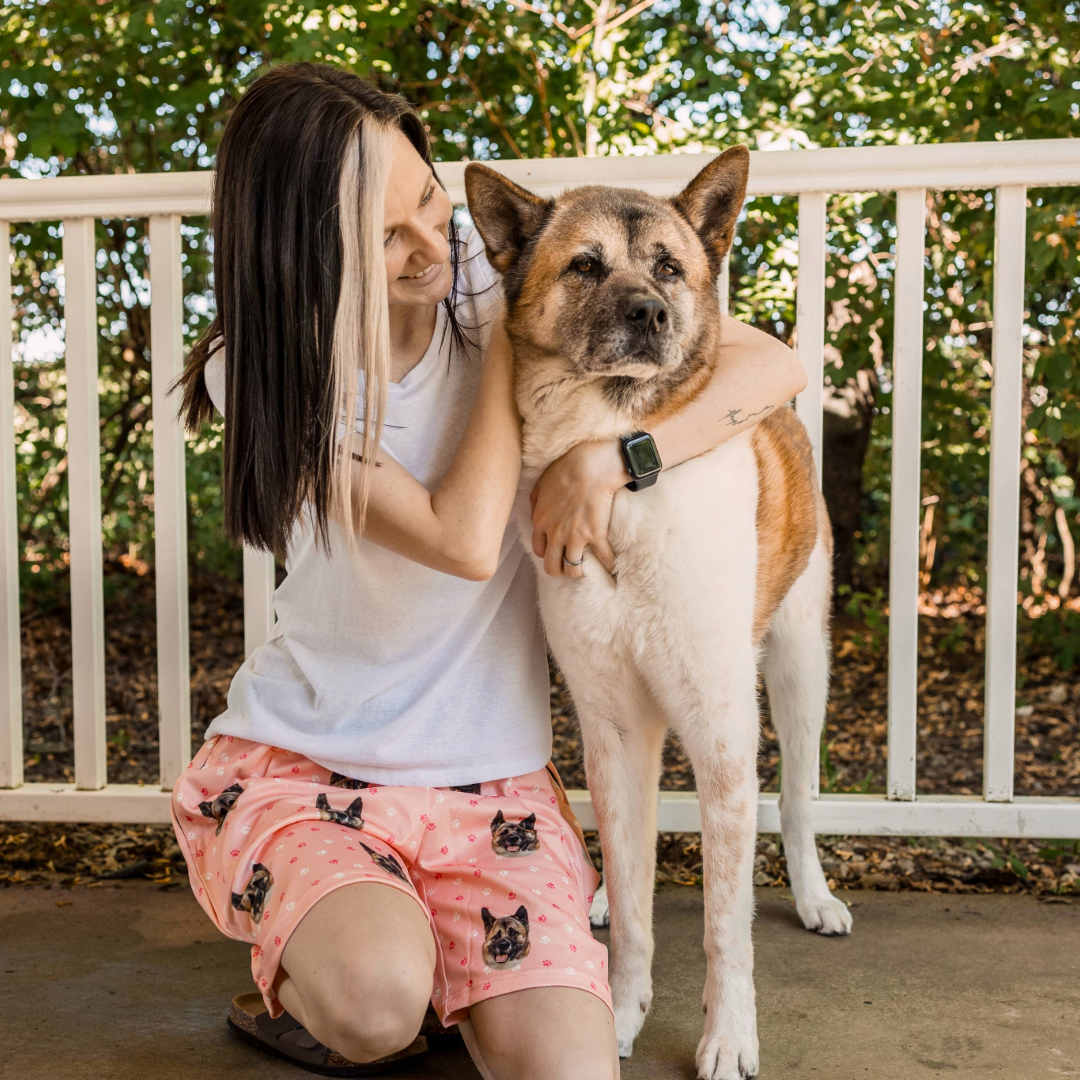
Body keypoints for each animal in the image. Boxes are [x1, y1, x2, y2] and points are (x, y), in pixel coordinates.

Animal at [468, 145, 855, 1080]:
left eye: (670, 268)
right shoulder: (611, 724)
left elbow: (726, 926)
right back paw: (607, 893)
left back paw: (815, 895)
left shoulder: (721, 729)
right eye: (584, 265)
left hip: (799, 673)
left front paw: (729, 1038)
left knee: (794, 801)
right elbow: (640, 903)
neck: (620, 490)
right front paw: (618, 1015)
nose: (649, 311)